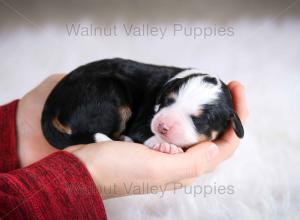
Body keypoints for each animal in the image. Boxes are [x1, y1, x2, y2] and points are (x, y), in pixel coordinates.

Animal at [41, 58, 244, 153]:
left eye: (198, 120)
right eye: (167, 101)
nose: (162, 126)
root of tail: (51, 106)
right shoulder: (142, 121)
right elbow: (145, 132)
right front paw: (166, 146)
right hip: (110, 96)